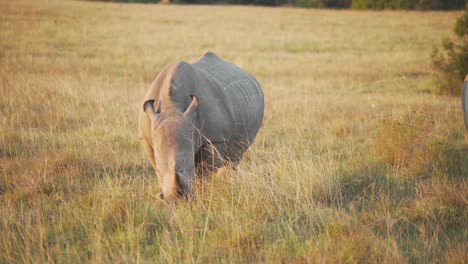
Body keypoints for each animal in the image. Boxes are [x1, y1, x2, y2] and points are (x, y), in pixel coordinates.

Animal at [138, 52, 264, 202]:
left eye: (191, 167)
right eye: (157, 171)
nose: (176, 200)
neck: (171, 107)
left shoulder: (215, 139)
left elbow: (204, 170)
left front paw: (201, 192)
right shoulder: (147, 138)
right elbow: (155, 160)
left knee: (235, 156)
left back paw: (228, 183)